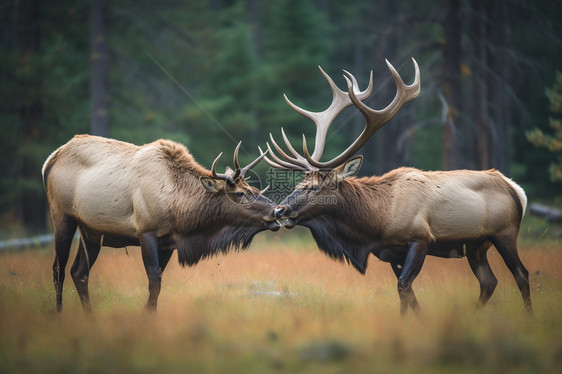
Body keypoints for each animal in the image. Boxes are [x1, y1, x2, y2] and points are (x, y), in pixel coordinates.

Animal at [41, 135, 278, 312]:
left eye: (255, 189)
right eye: (240, 193)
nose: (277, 211)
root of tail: (49, 161)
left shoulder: (168, 243)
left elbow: (157, 286)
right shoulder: (147, 232)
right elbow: (154, 283)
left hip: (91, 232)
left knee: (79, 272)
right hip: (62, 217)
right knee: (58, 269)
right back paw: (60, 315)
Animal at [262, 59, 528, 316]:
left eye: (315, 188)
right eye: (301, 183)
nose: (280, 210)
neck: (376, 222)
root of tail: (516, 189)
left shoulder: (421, 238)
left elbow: (403, 286)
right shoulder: (391, 253)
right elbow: (405, 294)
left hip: (504, 232)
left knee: (521, 274)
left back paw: (529, 315)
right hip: (477, 246)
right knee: (489, 282)